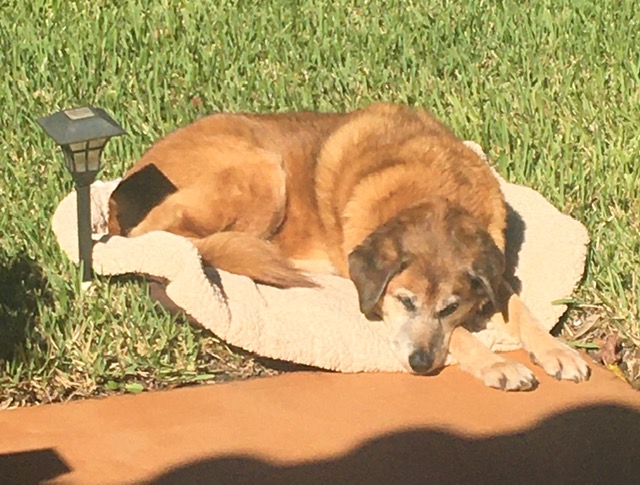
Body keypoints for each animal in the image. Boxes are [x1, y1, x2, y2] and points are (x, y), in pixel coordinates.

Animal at [108, 103, 590, 390]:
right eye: (404, 300)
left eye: (451, 307)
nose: (419, 363)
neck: (436, 190)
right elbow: (463, 338)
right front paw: (497, 364)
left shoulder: (496, 273)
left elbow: (521, 311)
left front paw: (558, 352)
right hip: (261, 171)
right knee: (170, 234)